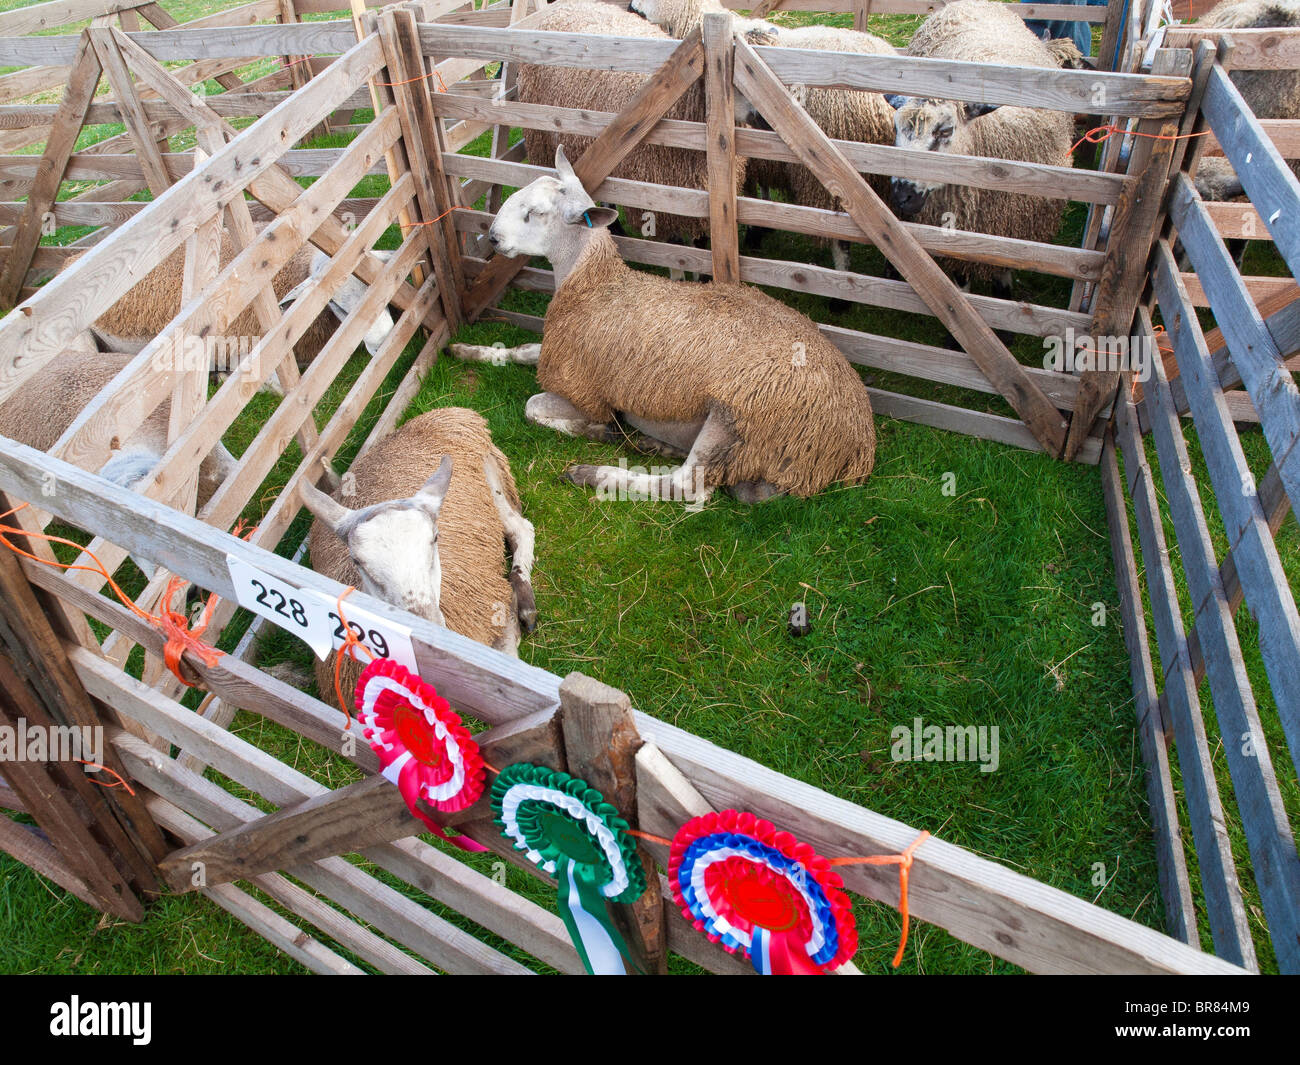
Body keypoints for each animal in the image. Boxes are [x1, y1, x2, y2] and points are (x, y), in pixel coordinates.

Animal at [297, 408, 533, 702]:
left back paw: (527, 603)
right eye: (357, 561)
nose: (426, 631)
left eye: (435, 538)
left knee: (520, 528)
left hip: (490, 480)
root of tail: (439, 413)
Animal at [447, 145, 873, 507]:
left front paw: (600, 430)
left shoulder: (583, 388)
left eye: (534, 212)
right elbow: (522, 350)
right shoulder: (561, 353)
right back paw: (657, 446)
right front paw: (465, 350)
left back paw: (594, 473)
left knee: (688, 486)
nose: (492, 237)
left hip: (738, 413)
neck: (592, 284)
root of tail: (855, 445)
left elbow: (533, 407)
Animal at [883, 2, 1076, 300]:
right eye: (895, 129)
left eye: (945, 131)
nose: (902, 196)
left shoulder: (1014, 229)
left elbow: (1003, 275)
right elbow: (961, 279)